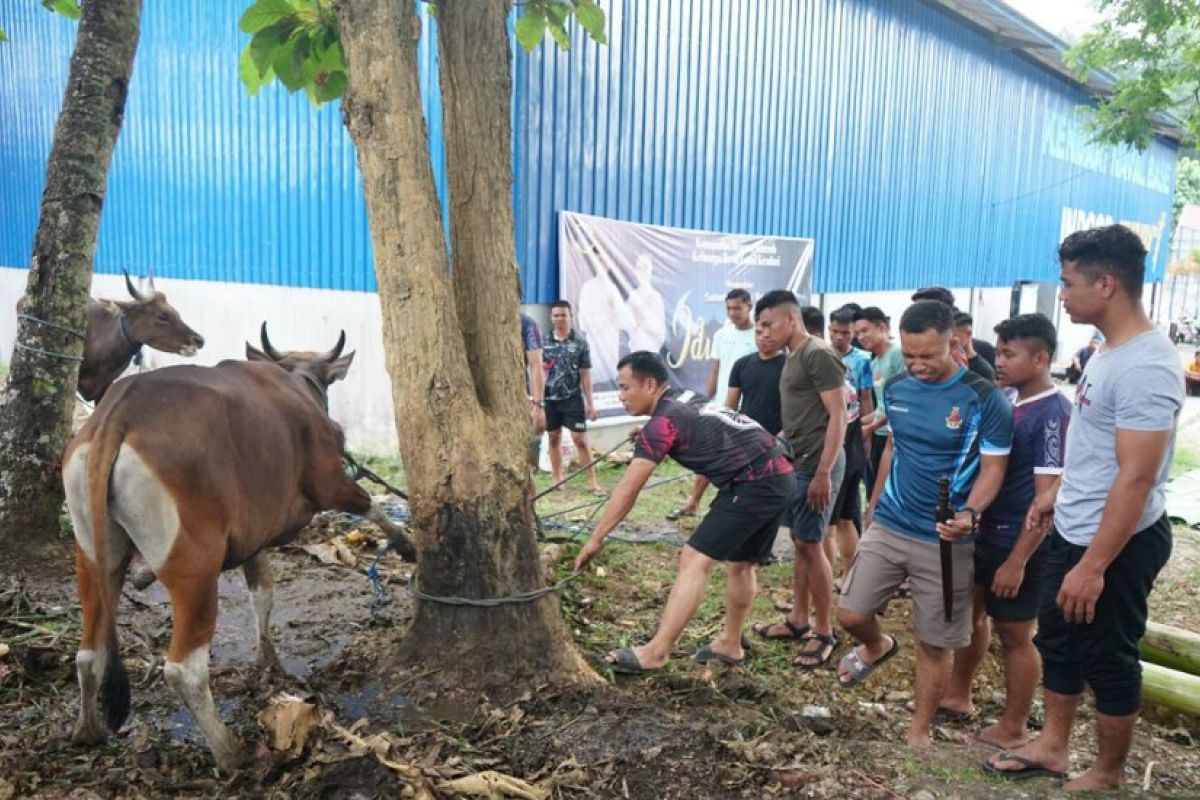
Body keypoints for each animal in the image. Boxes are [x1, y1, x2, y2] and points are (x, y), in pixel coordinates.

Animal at [60, 323, 367, 767]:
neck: (295, 383)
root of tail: (116, 416)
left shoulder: (254, 541)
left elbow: (262, 594)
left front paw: (268, 661)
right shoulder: (330, 482)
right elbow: (373, 506)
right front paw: (409, 546)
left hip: (93, 556)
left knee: (89, 652)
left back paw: (88, 731)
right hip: (195, 570)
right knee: (184, 670)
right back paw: (230, 752)